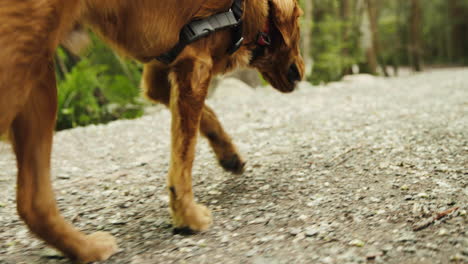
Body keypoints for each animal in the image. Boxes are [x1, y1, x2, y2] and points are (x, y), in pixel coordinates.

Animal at [0, 0, 304, 260]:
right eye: (299, 22)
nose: (301, 73)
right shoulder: (195, 66)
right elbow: (184, 156)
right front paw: (187, 217)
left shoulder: (161, 72)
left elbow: (207, 117)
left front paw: (229, 154)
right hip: (23, 64)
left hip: (39, 76)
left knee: (32, 201)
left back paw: (86, 248)